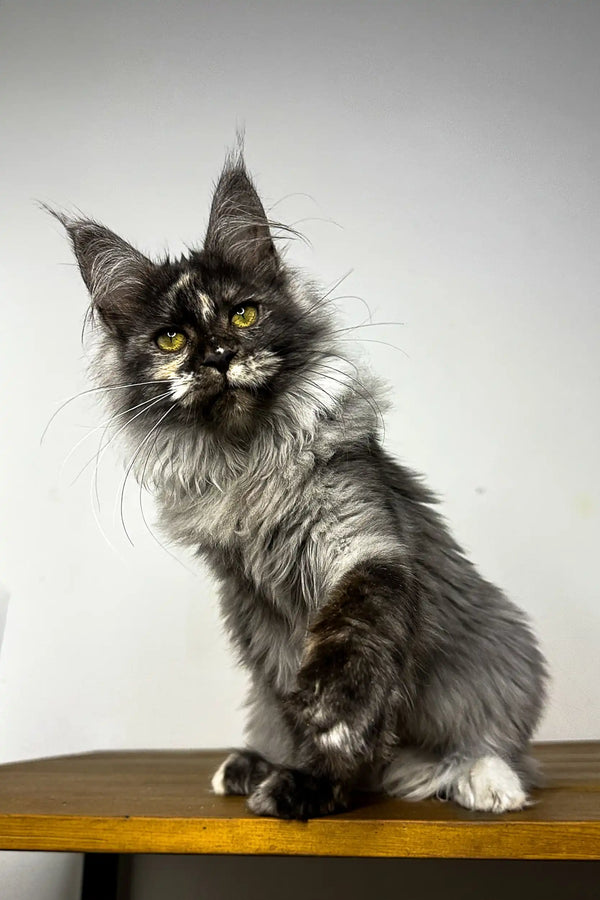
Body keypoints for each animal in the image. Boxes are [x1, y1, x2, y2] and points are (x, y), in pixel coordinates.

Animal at [57, 156, 548, 824]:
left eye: (242, 314)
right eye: (171, 340)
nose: (217, 355)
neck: (249, 462)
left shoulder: (362, 547)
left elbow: (350, 640)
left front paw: (329, 724)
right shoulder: (254, 612)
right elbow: (306, 715)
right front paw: (308, 770)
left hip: (499, 651)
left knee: (489, 745)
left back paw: (487, 782)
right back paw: (258, 771)